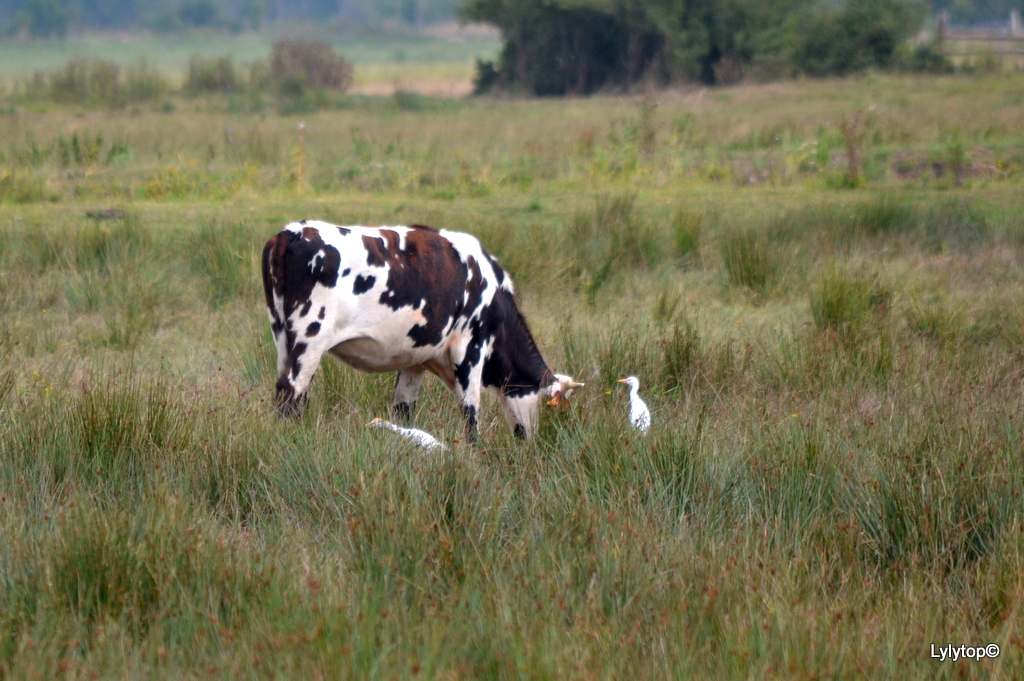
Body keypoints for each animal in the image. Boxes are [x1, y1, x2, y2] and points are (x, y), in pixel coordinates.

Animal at [260, 219, 581, 440]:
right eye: (558, 408)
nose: (535, 442)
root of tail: (291, 232)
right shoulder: (470, 349)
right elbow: (470, 411)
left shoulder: (414, 360)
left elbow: (403, 410)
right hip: (310, 339)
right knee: (290, 391)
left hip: (283, 339)